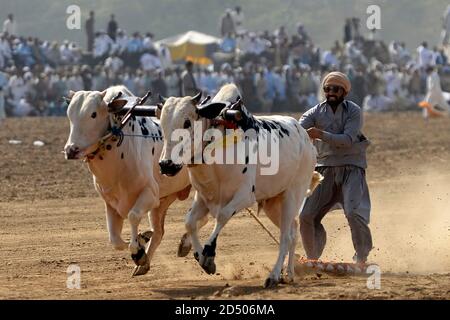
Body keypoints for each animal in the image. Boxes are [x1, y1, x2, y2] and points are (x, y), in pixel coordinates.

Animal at [63, 85, 190, 276]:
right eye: (70, 113)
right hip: (164, 201)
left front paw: (137, 250)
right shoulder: (111, 203)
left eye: (93, 114)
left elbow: (133, 216)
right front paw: (142, 242)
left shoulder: (149, 194)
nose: (71, 150)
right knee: (159, 232)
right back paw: (144, 265)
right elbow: (115, 240)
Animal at [158, 83, 320, 288]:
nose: (166, 164)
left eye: (187, 122)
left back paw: (274, 275)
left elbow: (222, 216)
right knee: (292, 232)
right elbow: (189, 222)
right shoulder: (203, 198)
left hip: (293, 195)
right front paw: (200, 256)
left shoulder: (244, 196)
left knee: (285, 237)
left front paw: (209, 254)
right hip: (273, 204)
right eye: (162, 123)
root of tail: (306, 139)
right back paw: (289, 273)